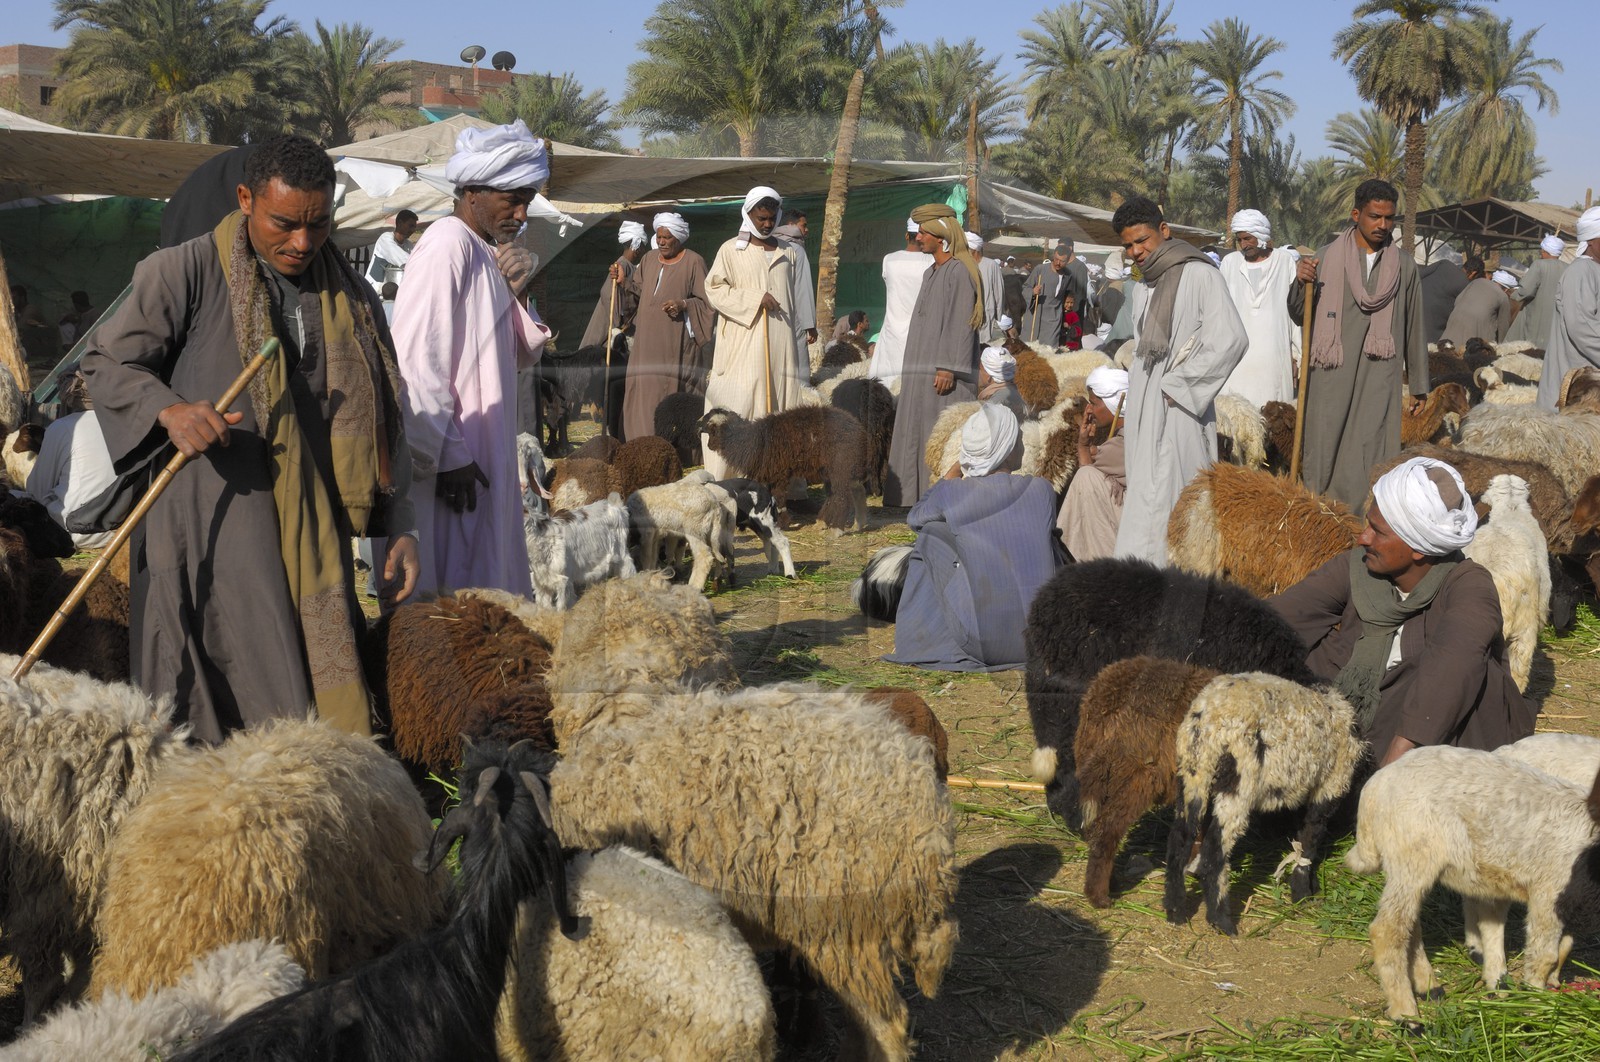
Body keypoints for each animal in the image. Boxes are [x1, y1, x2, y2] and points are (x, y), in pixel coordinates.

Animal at [696, 406, 869, 531]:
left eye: (707, 423)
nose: (697, 426)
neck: (746, 439)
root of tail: (858, 428)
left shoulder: (778, 473)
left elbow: (778, 497)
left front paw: (781, 522)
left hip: (840, 465)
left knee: (842, 496)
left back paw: (838, 527)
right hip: (835, 468)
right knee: (847, 492)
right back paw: (846, 523)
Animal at [1069, 657, 1220, 909]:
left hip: (1097, 766)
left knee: (1094, 826)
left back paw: (1111, 882)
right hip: (1139, 776)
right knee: (1106, 830)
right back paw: (1100, 897)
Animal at [1167, 672, 1363, 934]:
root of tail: (1209, 715)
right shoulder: (1330, 783)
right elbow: (1311, 837)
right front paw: (1302, 893)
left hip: (1194, 771)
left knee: (1180, 838)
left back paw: (1175, 910)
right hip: (1240, 779)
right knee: (1215, 848)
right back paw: (1221, 920)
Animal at [1344, 746, 1600, 1026]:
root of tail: (1376, 785)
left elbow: (1564, 945)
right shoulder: (1550, 890)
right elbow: (1545, 956)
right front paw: (1534, 1008)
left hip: (1413, 864)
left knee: (1410, 924)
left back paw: (1428, 985)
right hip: (1412, 854)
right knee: (1388, 930)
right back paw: (1407, 1015)